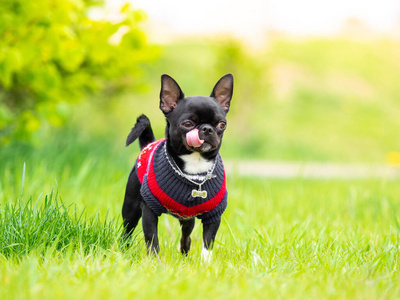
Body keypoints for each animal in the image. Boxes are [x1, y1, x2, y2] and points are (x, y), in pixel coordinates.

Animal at [123, 73, 233, 260]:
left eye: (221, 125)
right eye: (187, 124)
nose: (207, 129)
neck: (195, 166)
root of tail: (148, 143)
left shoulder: (213, 215)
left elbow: (208, 242)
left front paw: (205, 264)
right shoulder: (149, 210)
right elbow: (152, 238)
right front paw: (154, 261)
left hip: (188, 219)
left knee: (186, 237)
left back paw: (184, 256)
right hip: (130, 208)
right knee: (126, 232)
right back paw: (121, 251)